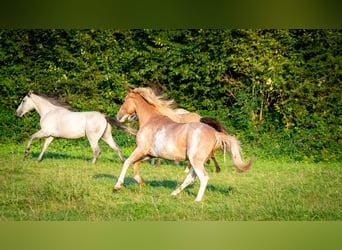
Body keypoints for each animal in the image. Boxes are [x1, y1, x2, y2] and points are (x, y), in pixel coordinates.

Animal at [113, 87, 252, 201]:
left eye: (124, 100)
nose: (118, 116)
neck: (151, 121)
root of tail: (215, 133)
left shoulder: (141, 149)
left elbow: (127, 162)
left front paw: (117, 186)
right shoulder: (150, 154)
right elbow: (135, 164)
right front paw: (141, 182)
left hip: (195, 160)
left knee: (203, 177)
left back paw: (197, 200)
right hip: (198, 161)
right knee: (191, 177)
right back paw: (173, 194)